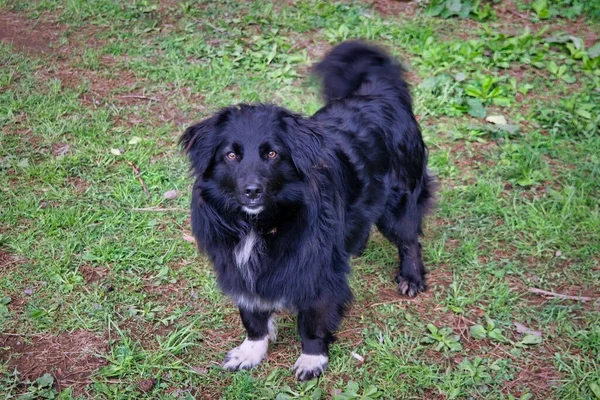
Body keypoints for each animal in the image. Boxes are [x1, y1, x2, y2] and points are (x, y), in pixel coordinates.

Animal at [180, 41, 434, 382]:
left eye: (272, 154)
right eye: (231, 155)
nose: (252, 191)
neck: (260, 223)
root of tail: (379, 94)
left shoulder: (318, 269)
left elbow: (314, 316)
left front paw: (312, 358)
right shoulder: (237, 265)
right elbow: (252, 313)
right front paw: (251, 351)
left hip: (401, 199)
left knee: (409, 238)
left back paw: (411, 276)